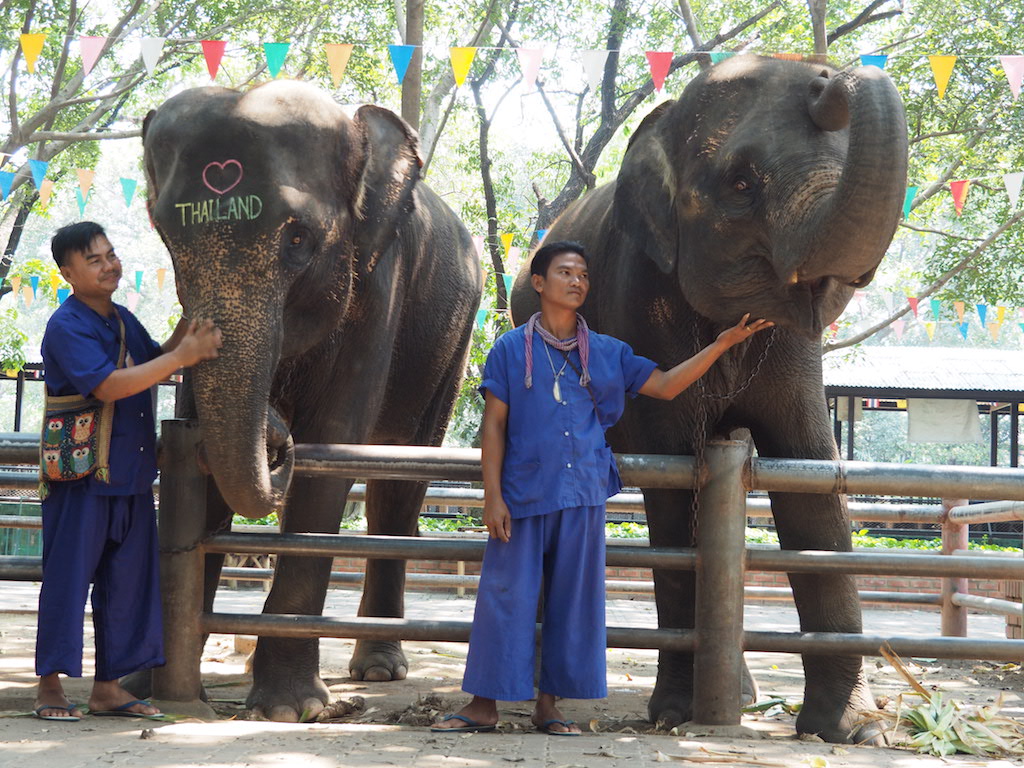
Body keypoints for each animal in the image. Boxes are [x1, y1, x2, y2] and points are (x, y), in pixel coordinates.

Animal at [140, 81, 483, 724]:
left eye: (297, 239)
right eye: (167, 236)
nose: (278, 435)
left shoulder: (380, 281)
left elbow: (335, 444)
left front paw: (287, 709)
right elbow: (204, 450)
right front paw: (156, 684)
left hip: (452, 345)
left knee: (400, 483)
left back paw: (378, 670)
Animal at [509, 55, 905, 745]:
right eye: (742, 182)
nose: (829, 76)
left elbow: (810, 483)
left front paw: (856, 731)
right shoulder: (640, 304)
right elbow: (672, 488)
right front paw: (674, 713)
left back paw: (741, 695)